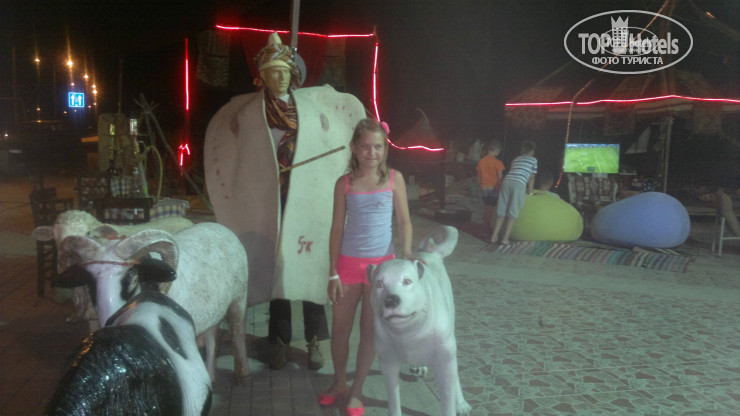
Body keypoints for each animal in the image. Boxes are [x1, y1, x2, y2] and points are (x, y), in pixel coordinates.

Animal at [368, 226, 471, 416]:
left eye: (407, 281)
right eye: (379, 284)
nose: (391, 300)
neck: (409, 332)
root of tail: (430, 253)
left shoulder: (445, 365)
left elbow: (448, 400)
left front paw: (456, 404)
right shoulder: (388, 364)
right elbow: (393, 399)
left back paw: (461, 403)